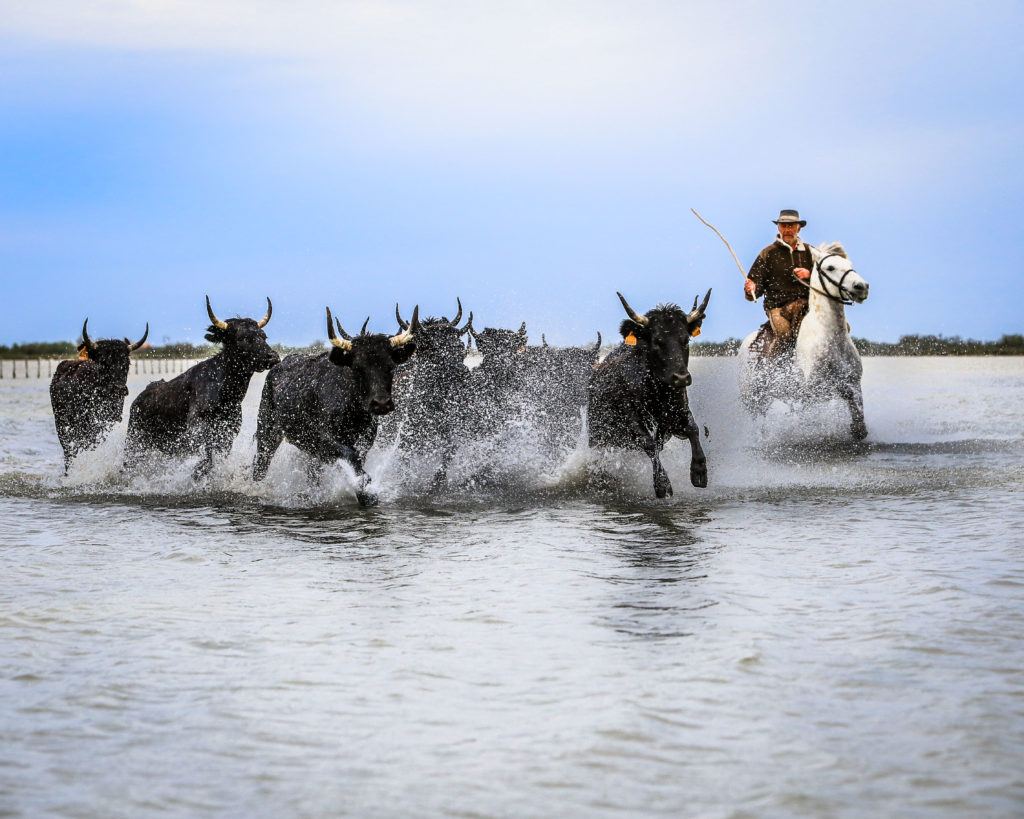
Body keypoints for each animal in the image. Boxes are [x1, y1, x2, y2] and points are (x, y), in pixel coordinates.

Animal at [49, 319, 148, 472]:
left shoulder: (108, 423)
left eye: (127, 363)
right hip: (61, 423)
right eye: (103, 362)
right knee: (68, 450)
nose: (119, 389)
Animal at [589, 292, 708, 499]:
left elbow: (693, 429)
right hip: (597, 436)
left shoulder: (677, 414)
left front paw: (699, 471)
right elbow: (650, 444)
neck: (656, 392)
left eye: (685, 340)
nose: (681, 377)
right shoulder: (631, 420)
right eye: (657, 342)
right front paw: (662, 484)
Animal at [741, 239, 868, 438]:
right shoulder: (815, 390)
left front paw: (857, 428)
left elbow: (857, 413)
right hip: (752, 397)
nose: (861, 287)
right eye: (830, 267)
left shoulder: (854, 382)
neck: (831, 339)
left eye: (849, 265)